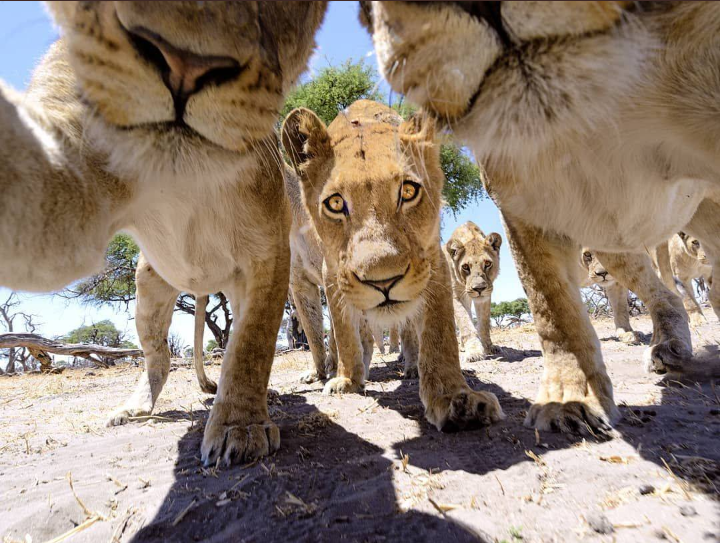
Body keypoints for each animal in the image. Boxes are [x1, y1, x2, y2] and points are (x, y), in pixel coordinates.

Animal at [0, 1, 326, 468]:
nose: (185, 64)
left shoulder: (269, 255)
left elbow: (252, 343)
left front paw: (240, 428)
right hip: (149, 286)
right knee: (159, 355)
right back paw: (134, 409)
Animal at [444, 221, 500, 362]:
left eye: (487, 263)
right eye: (465, 267)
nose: (479, 288)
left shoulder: (485, 296)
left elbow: (484, 323)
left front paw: (488, 347)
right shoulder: (455, 295)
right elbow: (465, 323)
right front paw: (474, 351)